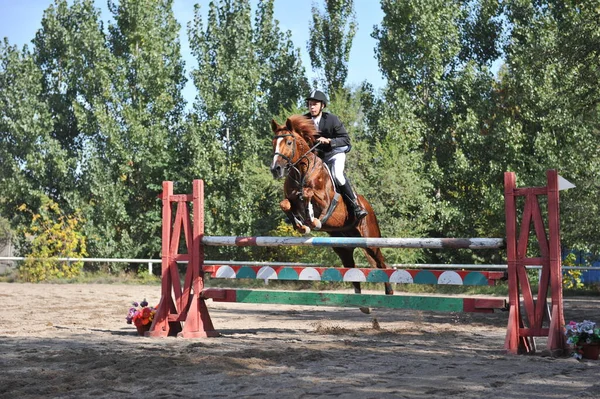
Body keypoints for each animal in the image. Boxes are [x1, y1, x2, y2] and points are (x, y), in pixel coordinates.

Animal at [270, 114, 394, 296]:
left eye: (289, 142)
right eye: (273, 142)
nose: (276, 169)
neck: (301, 172)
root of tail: (368, 207)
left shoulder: (326, 201)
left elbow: (308, 194)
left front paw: (313, 220)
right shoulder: (290, 200)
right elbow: (285, 204)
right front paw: (301, 226)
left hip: (371, 239)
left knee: (382, 263)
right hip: (343, 247)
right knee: (352, 270)